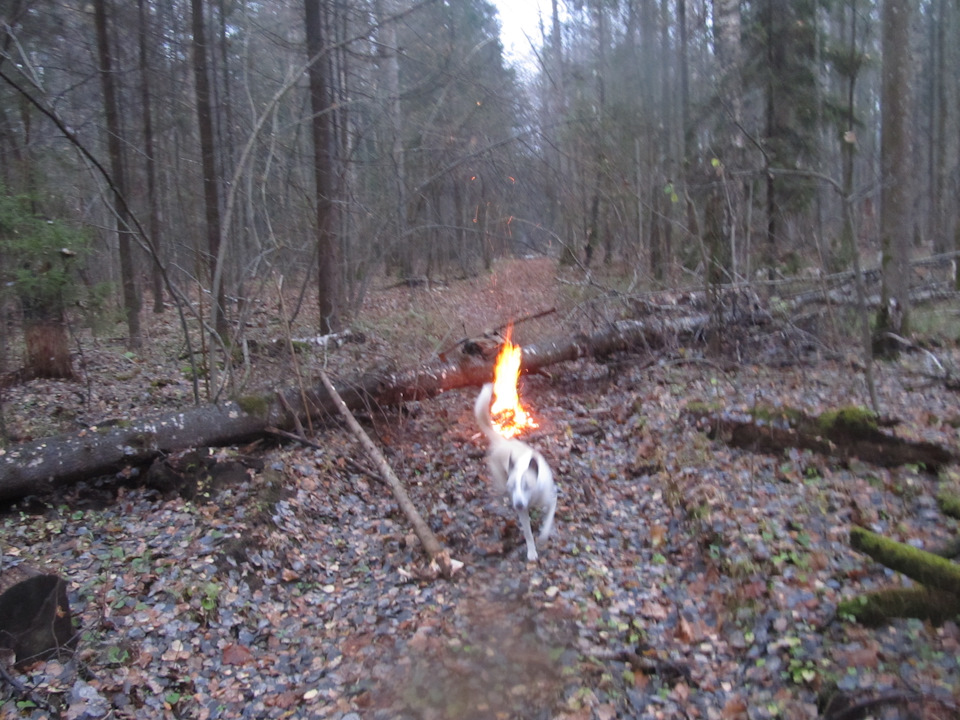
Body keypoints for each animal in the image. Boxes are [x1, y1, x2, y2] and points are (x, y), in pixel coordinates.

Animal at [476, 382, 560, 564]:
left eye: (527, 486)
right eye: (513, 485)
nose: (518, 504)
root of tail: (501, 441)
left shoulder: (551, 499)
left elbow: (548, 521)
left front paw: (543, 536)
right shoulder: (522, 511)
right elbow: (528, 533)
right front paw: (532, 552)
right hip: (500, 479)